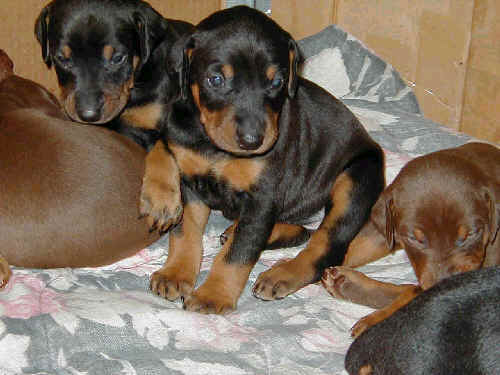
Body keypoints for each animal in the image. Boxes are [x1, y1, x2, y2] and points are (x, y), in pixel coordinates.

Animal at [142, 7, 386, 316]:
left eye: (277, 82)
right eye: (216, 80)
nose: (252, 140)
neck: (214, 146)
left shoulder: (262, 198)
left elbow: (237, 255)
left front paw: (213, 295)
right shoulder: (191, 183)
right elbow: (185, 233)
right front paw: (175, 274)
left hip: (356, 179)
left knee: (324, 247)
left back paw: (281, 274)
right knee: (301, 232)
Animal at [322, 143, 498, 338]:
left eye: (470, 234)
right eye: (415, 239)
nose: (445, 284)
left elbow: (415, 294)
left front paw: (374, 321)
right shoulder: (386, 229)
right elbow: (355, 246)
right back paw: (345, 283)